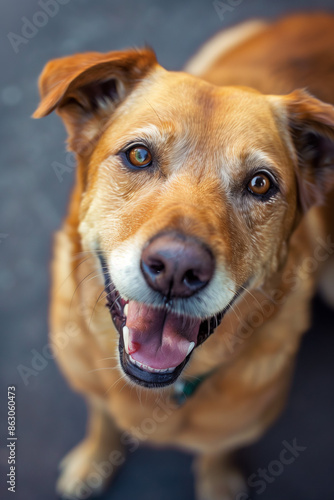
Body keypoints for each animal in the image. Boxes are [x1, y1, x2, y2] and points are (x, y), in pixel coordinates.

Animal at [33, 13, 334, 500]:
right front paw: (93, 459)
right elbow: (102, 417)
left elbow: (216, 450)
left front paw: (218, 481)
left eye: (261, 184)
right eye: (139, 155)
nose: (177, 268)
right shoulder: (93, 389)